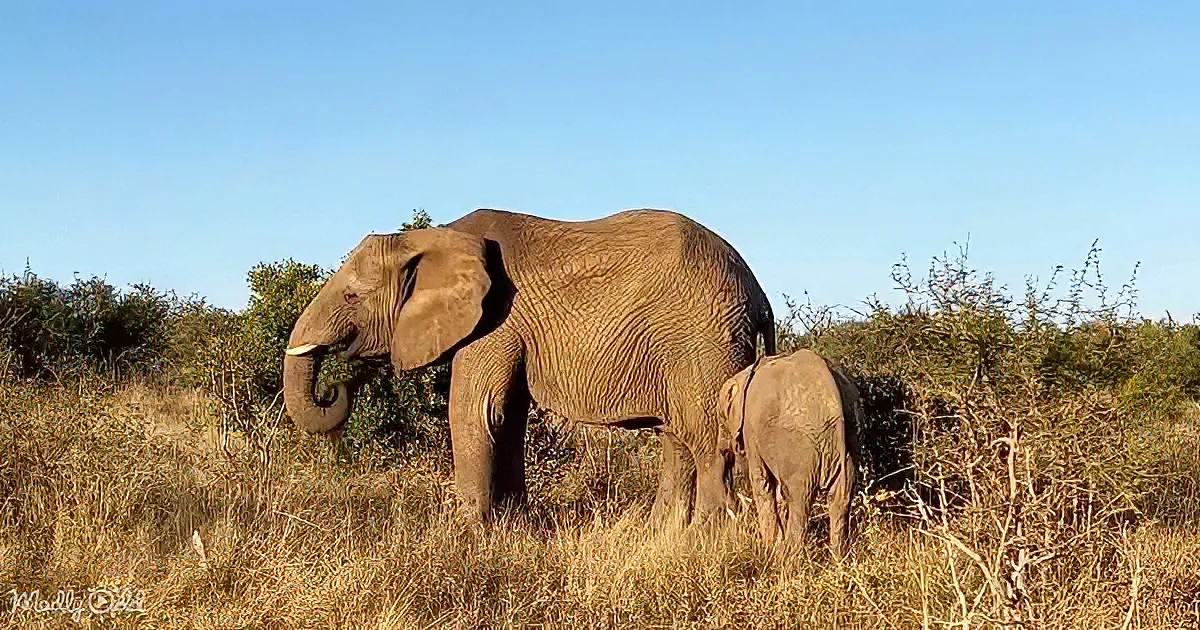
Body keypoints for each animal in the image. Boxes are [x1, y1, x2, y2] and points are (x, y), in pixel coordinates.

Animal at [282, 208, 775, 525]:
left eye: (352, 297)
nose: (336, 387)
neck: (435, 238)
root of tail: (759, 293)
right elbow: (508, 417)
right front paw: (515, 526)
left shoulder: (494, 320)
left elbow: (475, 412)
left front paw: (468, 535)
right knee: (679, 439)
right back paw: (661, 536)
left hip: (702, 340)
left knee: (708, 442)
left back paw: (706, 538)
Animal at [718, 349, 860, 558]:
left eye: (721, 419)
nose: (722, 450)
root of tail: (831, 392)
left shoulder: (750, 430)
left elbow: (762, 482)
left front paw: (770, 548)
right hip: (851, 439)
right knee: (841, 498)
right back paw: (839, 559)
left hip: (799, 445)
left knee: (799, 499)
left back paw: (789, 558)